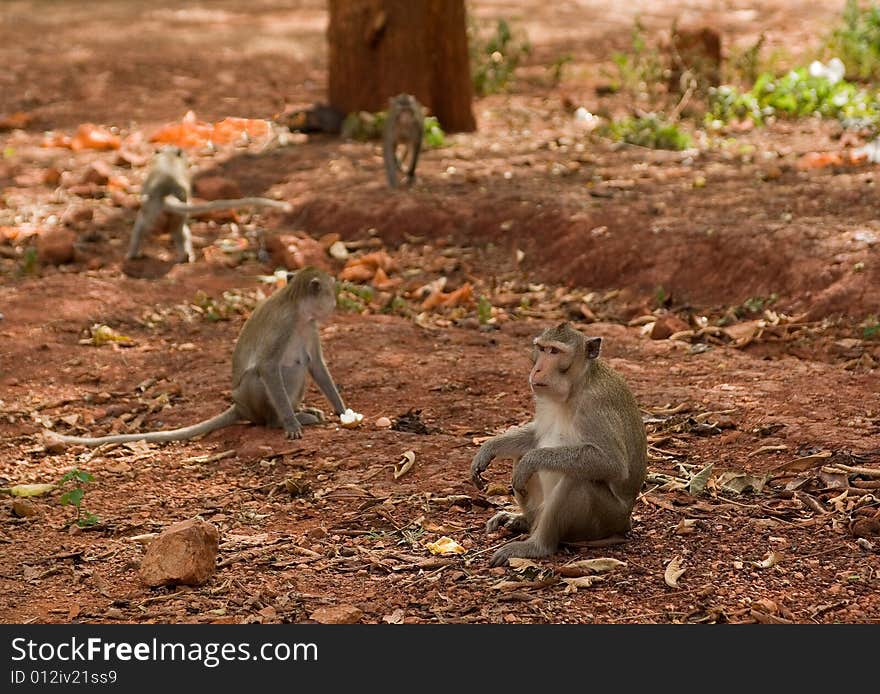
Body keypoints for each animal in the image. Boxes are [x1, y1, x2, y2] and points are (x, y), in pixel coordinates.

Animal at [470, 324, 648, 568]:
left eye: (555, 352)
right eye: (542, 349)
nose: (537, 370)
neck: (575, 387)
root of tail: (625, 522)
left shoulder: (595, 405)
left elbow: (612, 463)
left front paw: (528, 463)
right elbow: (535, 437)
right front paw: (490, 447)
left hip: (605, 519)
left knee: (576, 478)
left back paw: (538, 545)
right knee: (524, 455)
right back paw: (524, 521)